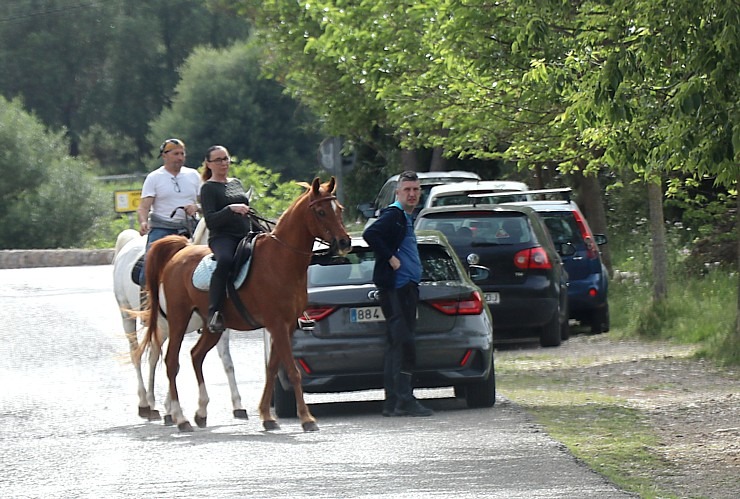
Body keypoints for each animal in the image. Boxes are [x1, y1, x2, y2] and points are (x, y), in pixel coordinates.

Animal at [112, 221, 246, 424]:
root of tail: (129, 242)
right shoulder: (178, 326)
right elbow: (174, 363)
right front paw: (173, 411)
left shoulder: (217, 326)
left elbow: (227, 362)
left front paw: (238, 405)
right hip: (128, 316)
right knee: (137, 354)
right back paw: (145, 403)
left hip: (162, 329)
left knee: (153, 357)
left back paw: (153, 403)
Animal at [135, 179, 350, 434]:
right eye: (320, 212)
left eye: (339, 209)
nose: (345, 242)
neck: (281, 259)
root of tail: (179, 253)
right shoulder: (277, 325)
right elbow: (292, 371)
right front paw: (307, 419)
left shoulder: (285, 327)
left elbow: (272, 369)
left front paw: (267, 416)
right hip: (178, 320)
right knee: (171, 362)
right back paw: (180, 418)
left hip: (211, 327)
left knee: (196, 356)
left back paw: (201, 412)